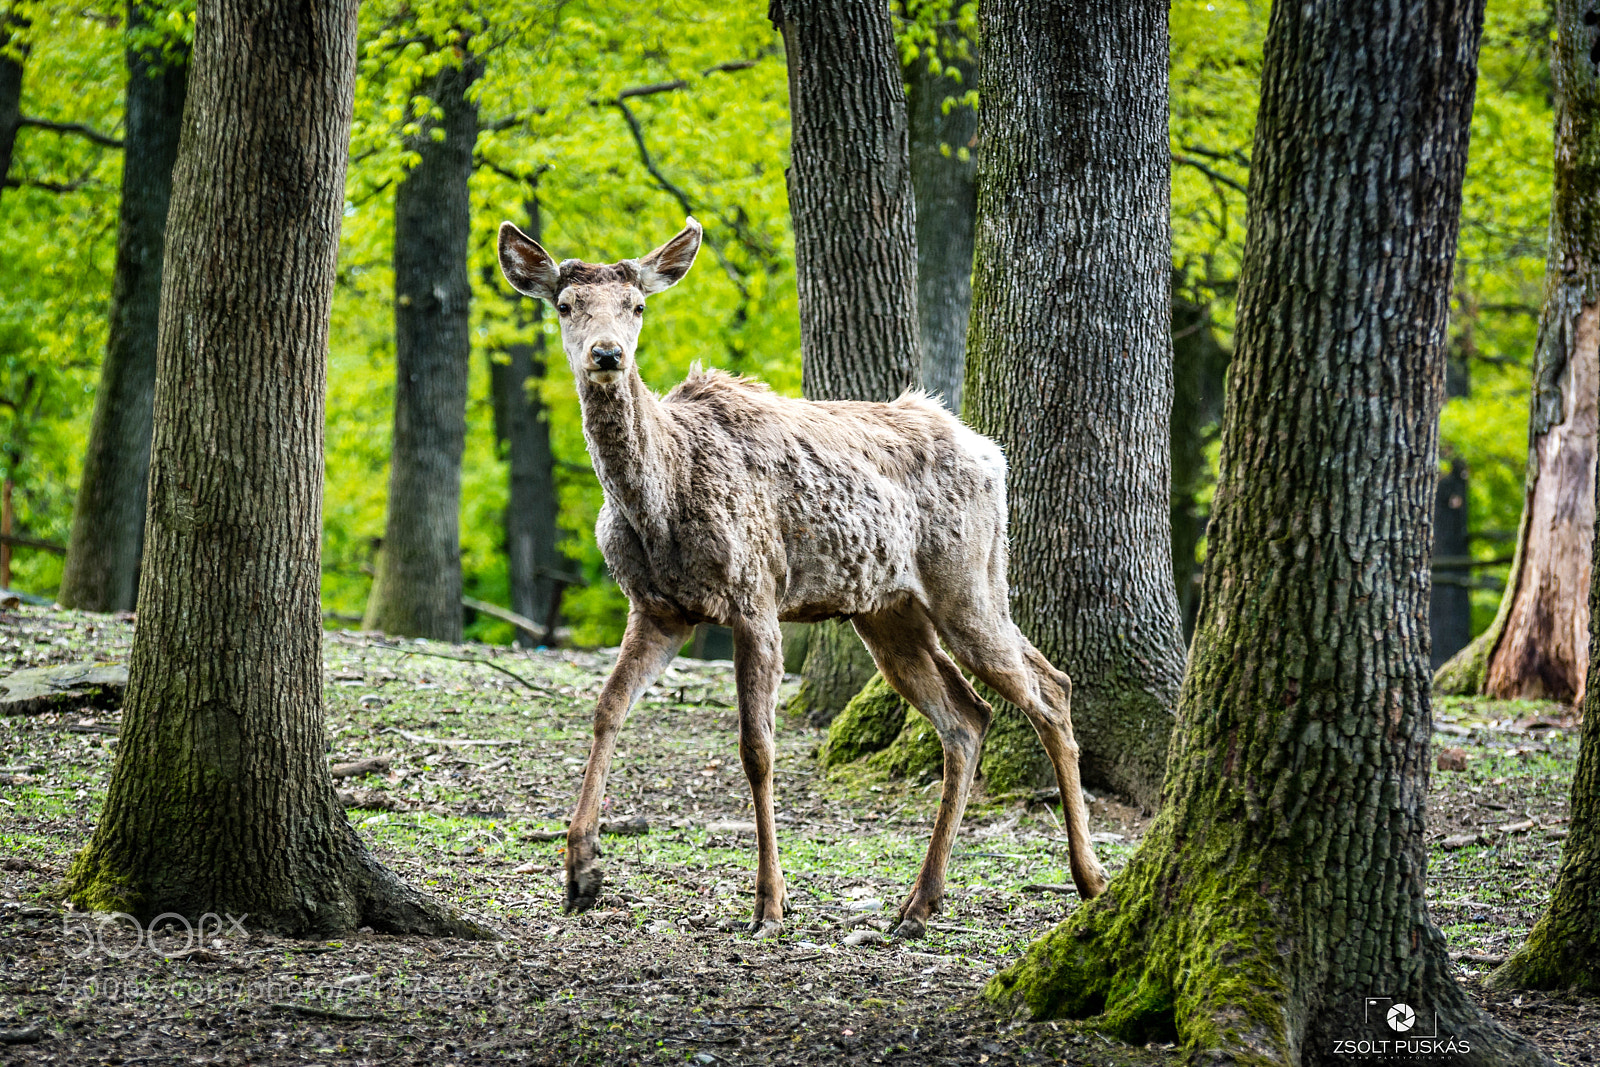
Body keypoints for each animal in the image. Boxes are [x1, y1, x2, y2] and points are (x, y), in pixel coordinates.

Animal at [496, 215, 1109, 940]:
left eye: (637, 305)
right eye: (566, 306)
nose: (608, 354)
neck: (660, 500)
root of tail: (992, 453)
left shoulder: (754, 593)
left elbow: (756, 747)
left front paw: (769, 901)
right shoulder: (658, 609)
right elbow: (606, 707)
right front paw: (581, 871)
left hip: (968, 579)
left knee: (1051, 688)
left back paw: (1088, 878)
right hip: (888, 611)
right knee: (968, 715)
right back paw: (918, 902)